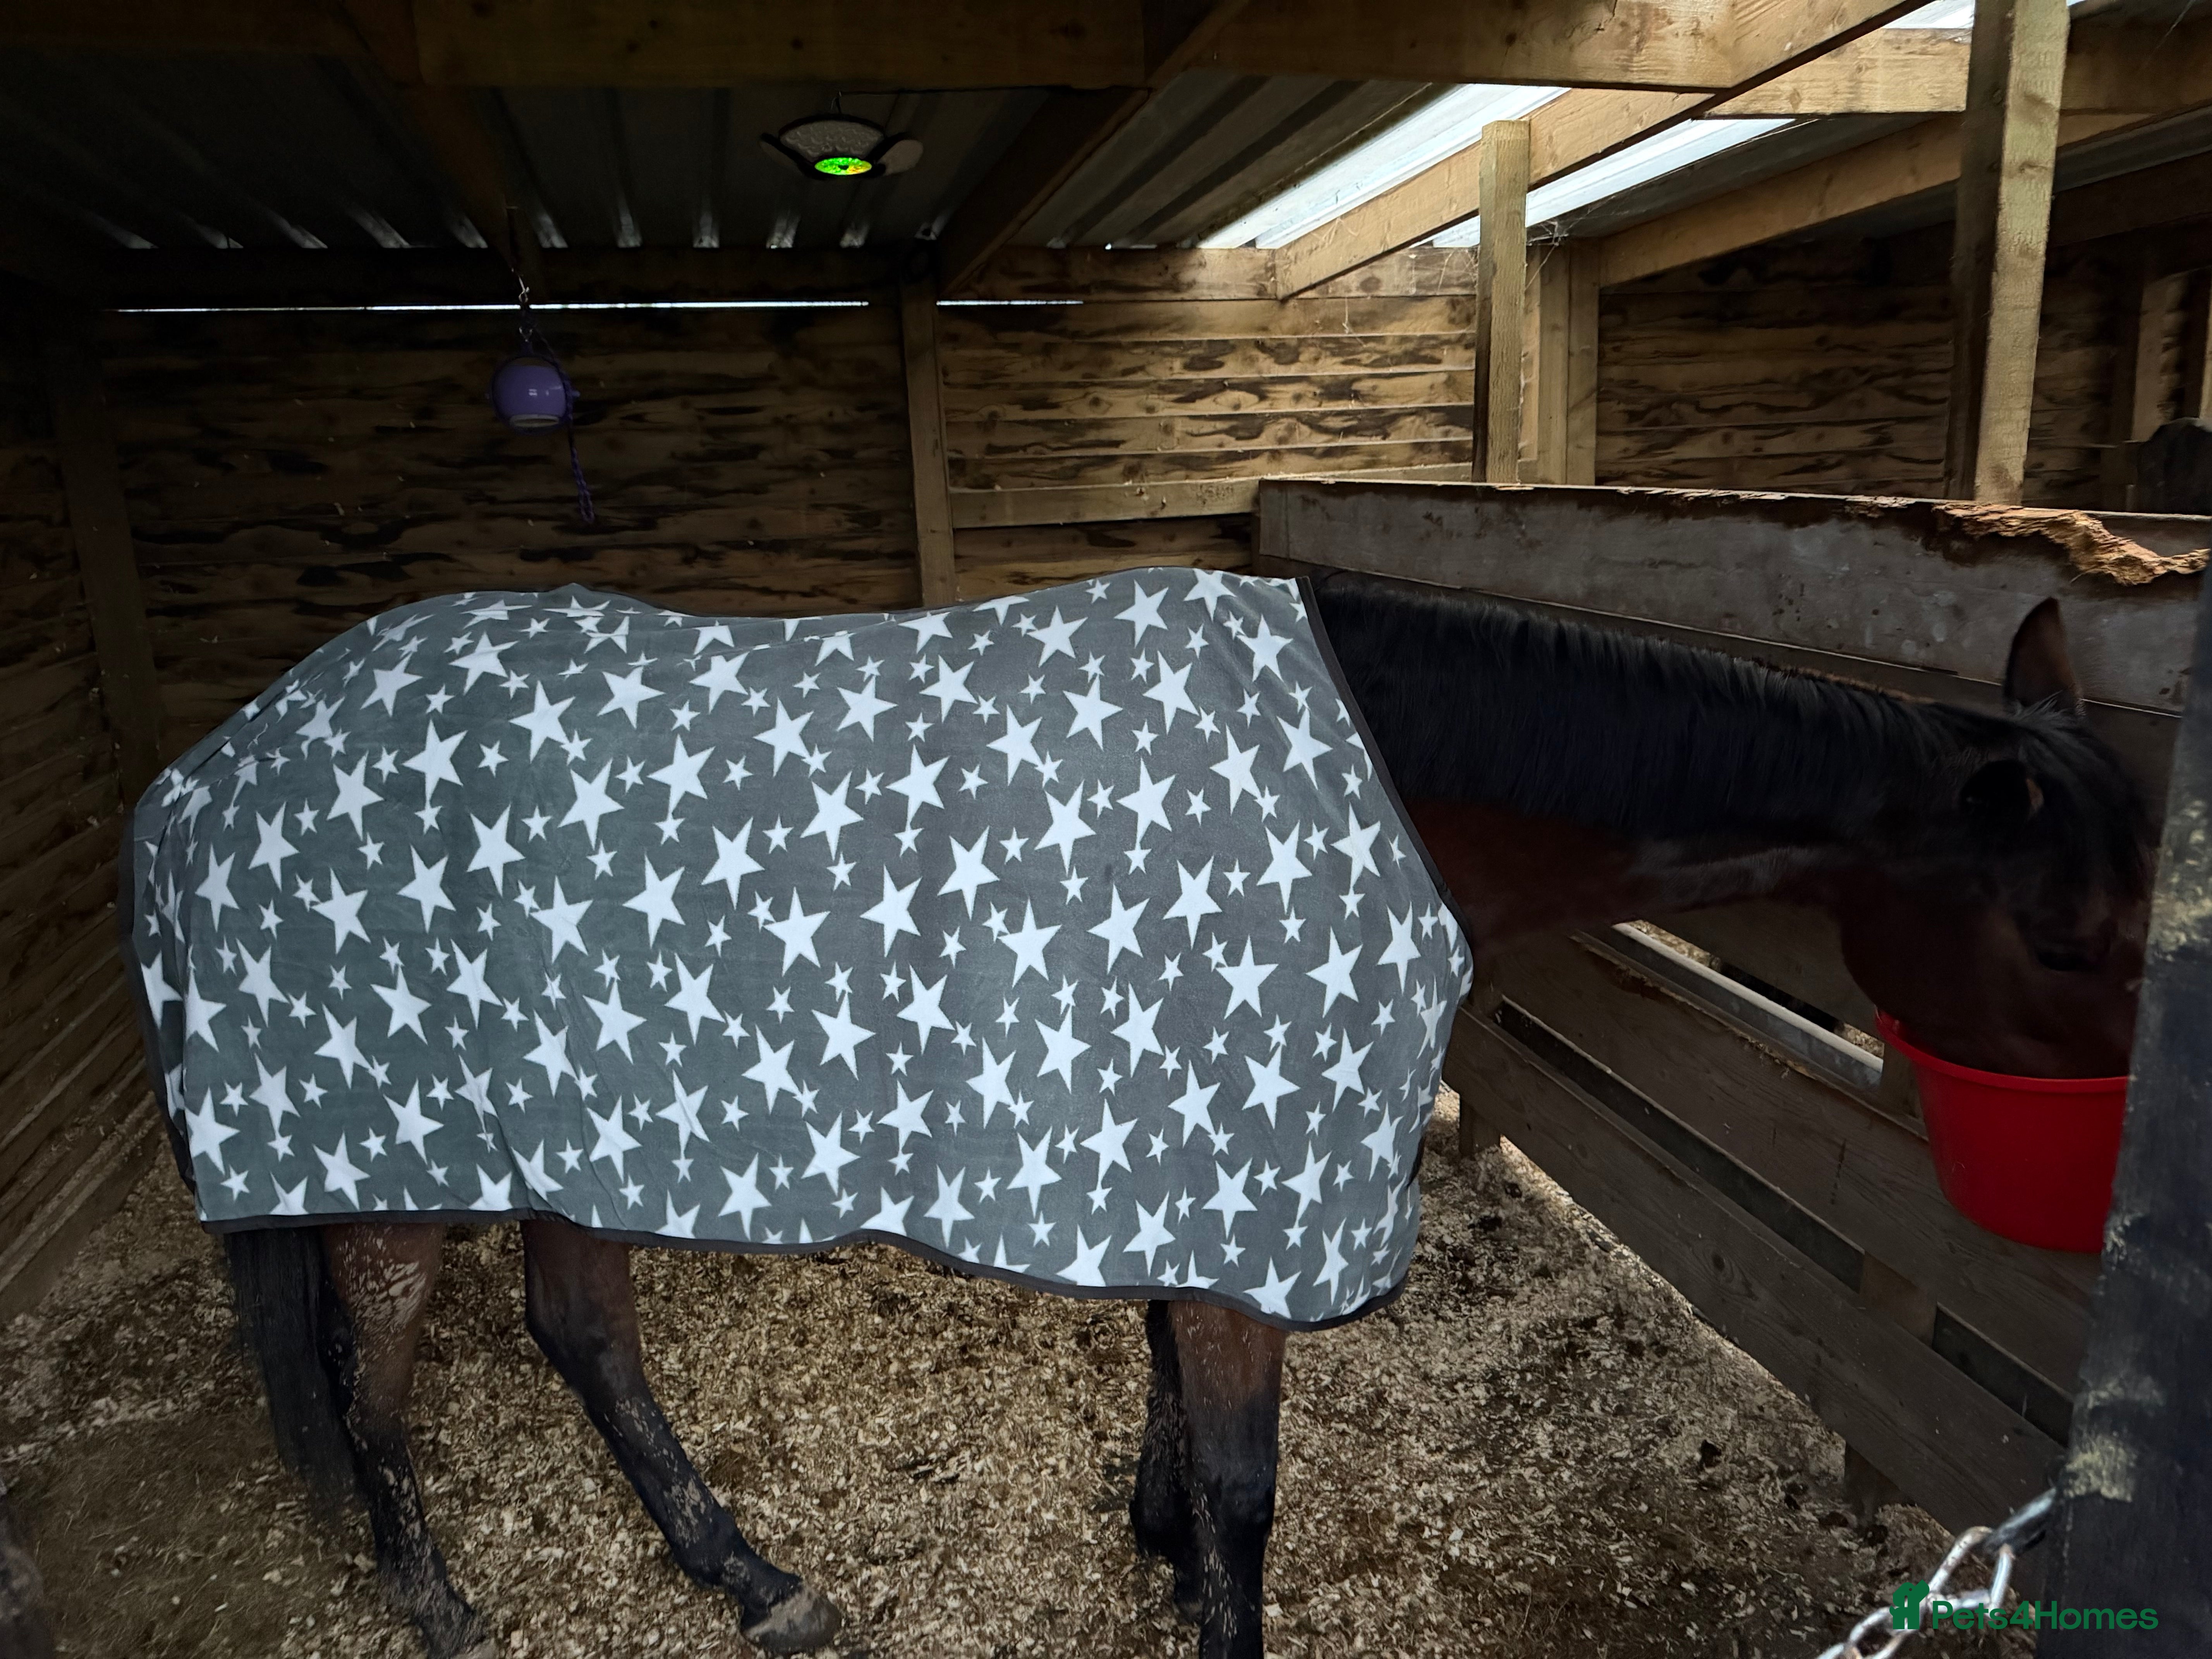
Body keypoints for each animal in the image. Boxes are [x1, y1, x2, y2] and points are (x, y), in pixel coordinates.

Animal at [138, 571, 2151, 1659]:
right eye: (2069, 937)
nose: (2126, 1201)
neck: (1386, 785)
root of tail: (210, 771)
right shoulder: (1240, 1201)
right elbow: (1253, 1484)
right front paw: (1204, 1575)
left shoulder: (1187, 1186)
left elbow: (1180, 1412)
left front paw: (1158, 1547)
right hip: (392, 1152)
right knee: (373, 1382)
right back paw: (437, 1600)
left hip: (576, 1131)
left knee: (582, 1339)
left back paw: (748, 1576)